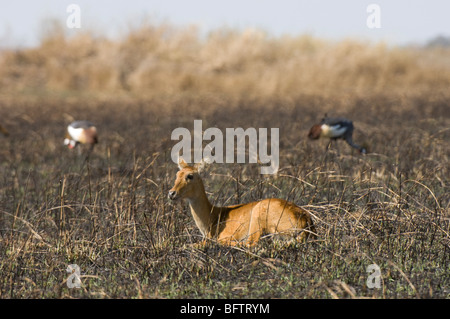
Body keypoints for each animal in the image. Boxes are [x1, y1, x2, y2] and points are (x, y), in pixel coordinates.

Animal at [168, 158, 316, 248]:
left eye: (190, 176)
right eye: (177, 174)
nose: (171, 193)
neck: (214, 216)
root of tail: (306, 221)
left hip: (257, 218)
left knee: (253, 243)